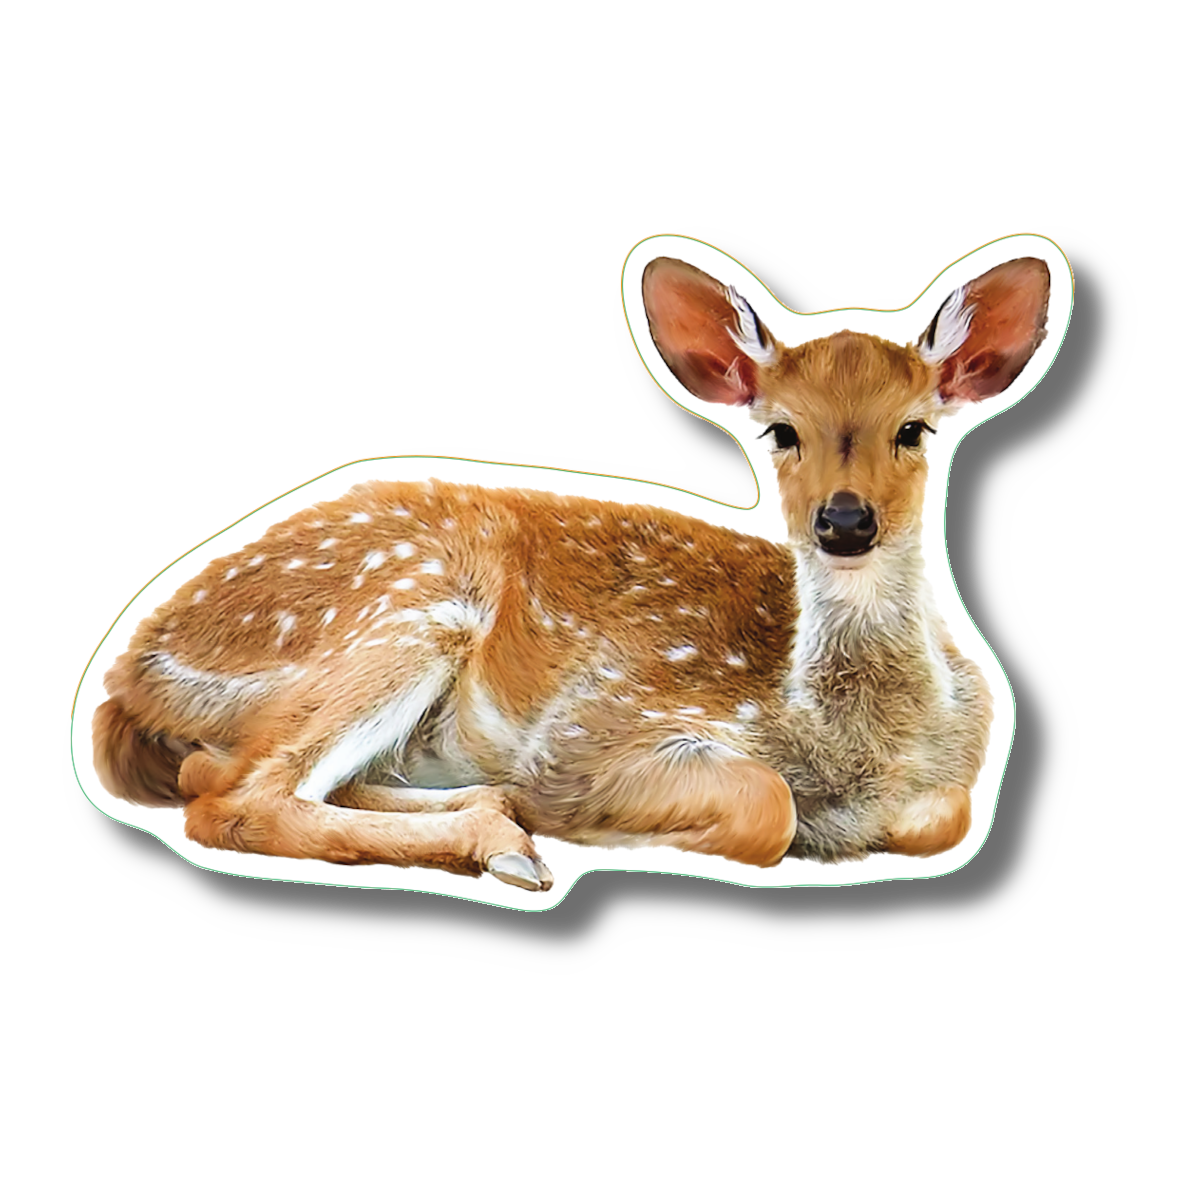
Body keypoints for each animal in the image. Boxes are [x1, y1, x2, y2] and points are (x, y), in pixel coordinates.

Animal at [92, 250, 1051, 893]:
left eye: (914, 428)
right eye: (781, 430)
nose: (845, 520)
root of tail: (128, 672)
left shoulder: (955, 780)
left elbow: (942, 817)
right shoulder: (599, 723)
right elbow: (763, 808)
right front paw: (628, 839)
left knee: (225, 777)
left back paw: (494, 819)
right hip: (402, 612)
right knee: (231, 798)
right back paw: (509, 847)